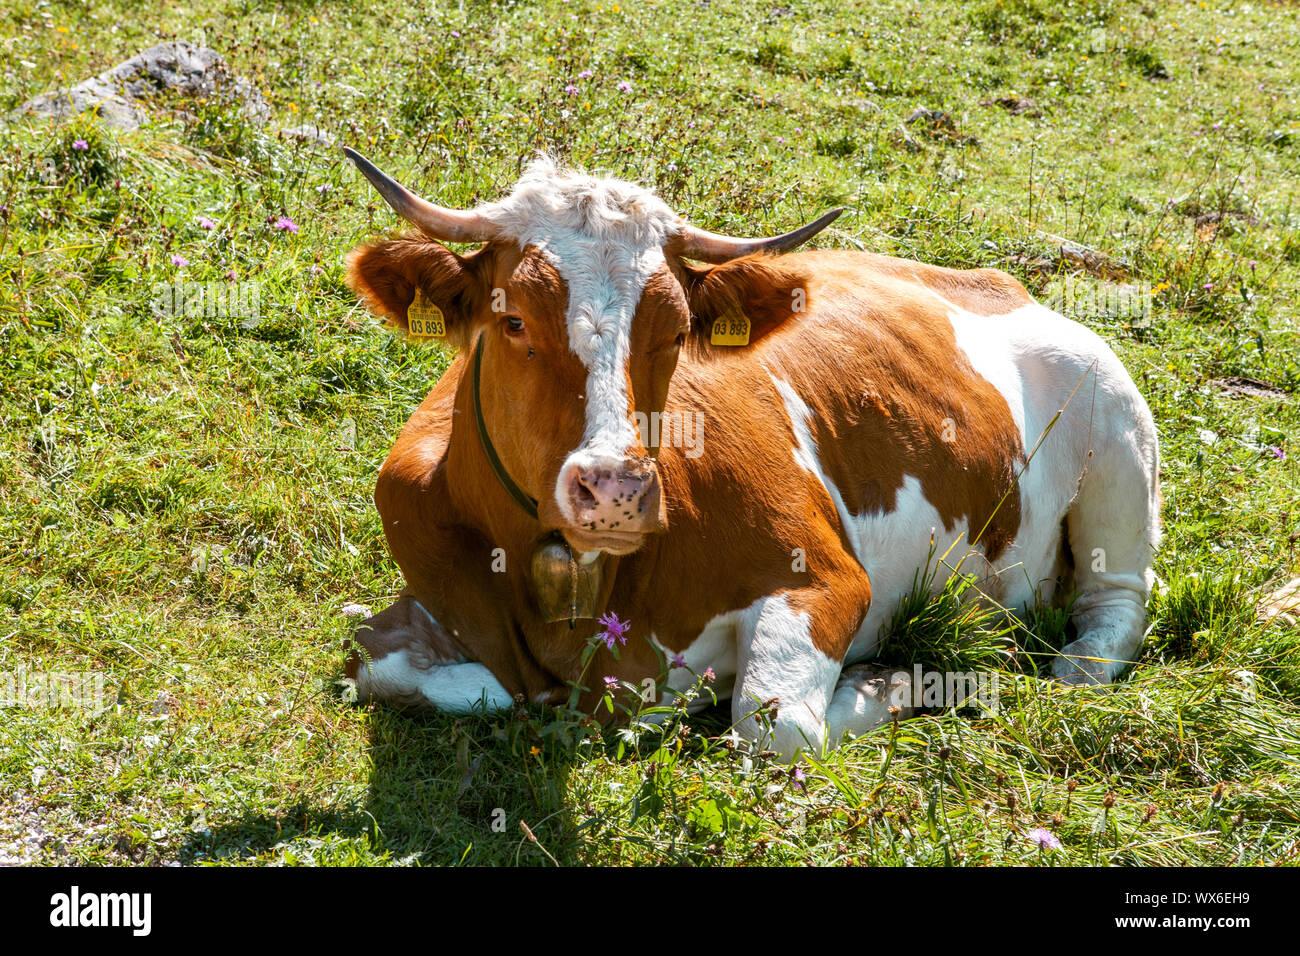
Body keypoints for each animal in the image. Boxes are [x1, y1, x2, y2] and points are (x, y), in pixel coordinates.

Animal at [339, 148, 1161, 760]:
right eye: (511, 319)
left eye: (675, 330)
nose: (615, 490)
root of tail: (992, 279)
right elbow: (386, 668)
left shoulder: (823, 575)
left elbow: (778, 725)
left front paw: (882, 682)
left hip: (1117, 423)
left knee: (1113, 603)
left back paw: (1062, 661)